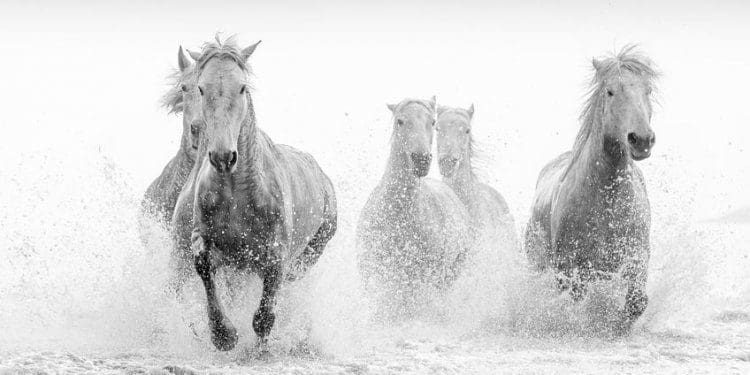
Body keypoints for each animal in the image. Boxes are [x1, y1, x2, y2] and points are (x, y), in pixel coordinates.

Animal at [173, 36, 338, 352]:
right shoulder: (203, 236)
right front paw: (223, 335)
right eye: (200, 88)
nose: (223, 156)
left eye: (242, 87)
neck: (235, 192)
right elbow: (203, 264)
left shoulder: (276, 251)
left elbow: (265, 312)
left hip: (310, 253)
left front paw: (260, 346)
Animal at [524, 45, 660, 330]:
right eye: (610, 91)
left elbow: (637, 301)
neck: (607, 202)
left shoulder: (637, 253)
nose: (641, 139)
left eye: (648, 91)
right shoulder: (568, 267)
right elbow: (576, 301)